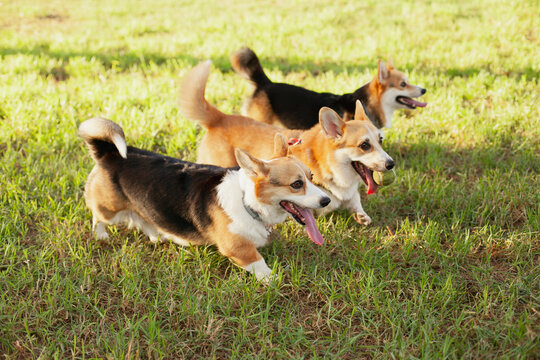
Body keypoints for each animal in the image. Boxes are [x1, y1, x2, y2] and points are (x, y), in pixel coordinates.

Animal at [77, 118, 330, 282]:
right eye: (296, 184)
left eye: (311, 177)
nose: (327, 201)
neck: (247, 202)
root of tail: (108, 153)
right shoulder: (237, 248)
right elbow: (257, 262)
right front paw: (272, 278)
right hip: (108, 209)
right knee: (97, 216)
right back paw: (101, 236)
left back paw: (157, 236)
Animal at [179, 62, 394, 225]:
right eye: (364, 145)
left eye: (380, 140)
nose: (391, 164)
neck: (328, 163)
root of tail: (220, 117)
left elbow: (355, 200)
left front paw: (361, 214)